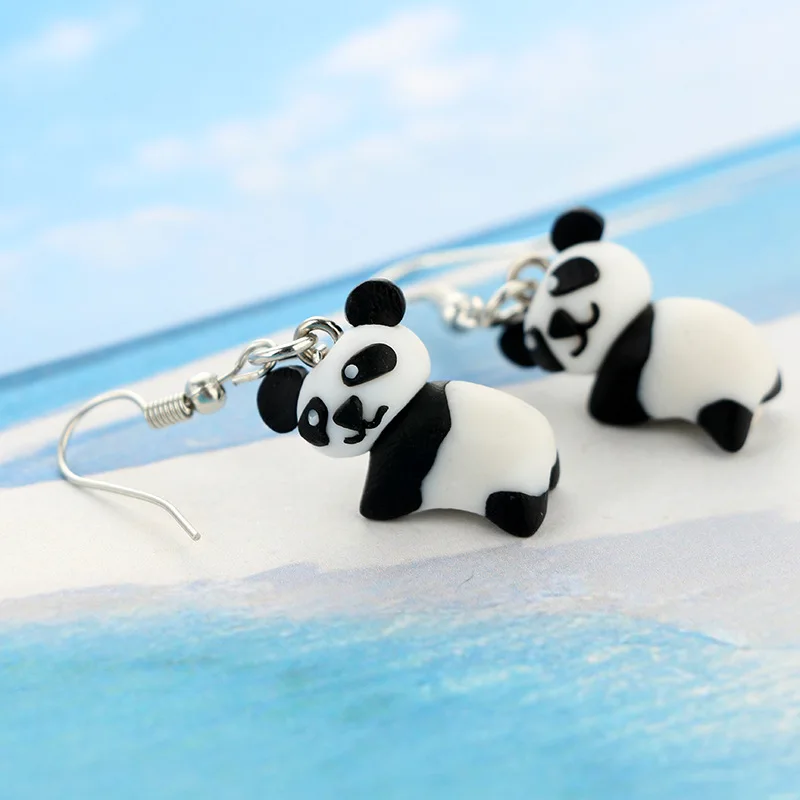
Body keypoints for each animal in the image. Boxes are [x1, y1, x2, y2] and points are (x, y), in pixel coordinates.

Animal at [257, 278, 560, 537]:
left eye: (354, 370)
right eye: (313, 416)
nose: (349, 414)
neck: (400, 413)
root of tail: (543, 465)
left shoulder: (406, 448)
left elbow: (389, 492)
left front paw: (373, 510)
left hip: (510, 485)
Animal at [499, 207, 782, 452]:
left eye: (565, 278)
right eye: (535, 341)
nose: (561, 324)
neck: (627, 325)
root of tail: (753, 393)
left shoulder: (625, 363)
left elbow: (606, 408)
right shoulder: (624, 368)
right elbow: (610, 408)